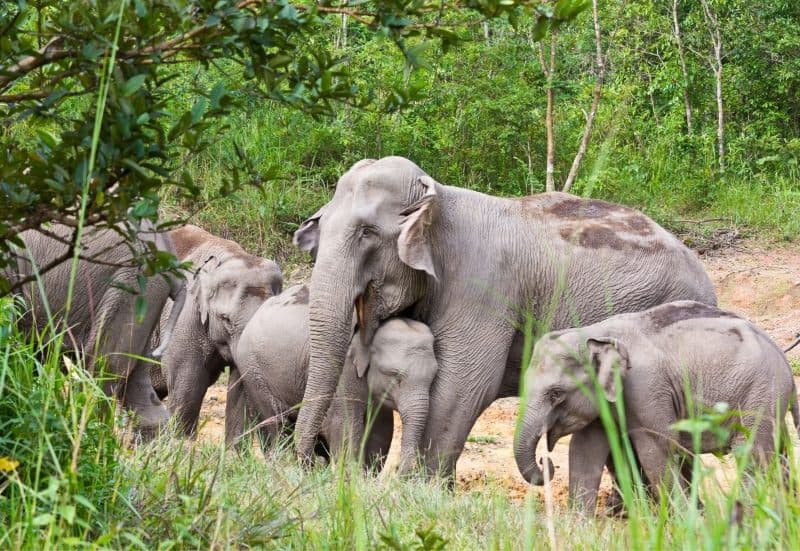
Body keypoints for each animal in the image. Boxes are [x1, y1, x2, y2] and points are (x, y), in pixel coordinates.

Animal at [233, 284, 438, 472]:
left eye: (433, 378)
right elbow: (344, 424)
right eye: (395, 376)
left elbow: (380, 430)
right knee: (276, 425)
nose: (398, 471)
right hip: (253, 371)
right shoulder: (343, 369)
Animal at [291, 156, 717, 478]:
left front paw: (423, 489)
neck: (438, 197)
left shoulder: (483, 284)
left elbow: (466, 382)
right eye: (321, 227)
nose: (310, 460)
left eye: (367, 233)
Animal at [515, 300, 800, 514]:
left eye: (556, 393)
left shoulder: (645, 389)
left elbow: (656, 450)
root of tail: (784, 361)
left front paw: (687, 524)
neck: (594, 333)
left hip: (761, 394)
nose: (546, 461)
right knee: (779, 454)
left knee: (751, 454)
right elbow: (584, 452)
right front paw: (580, 529)